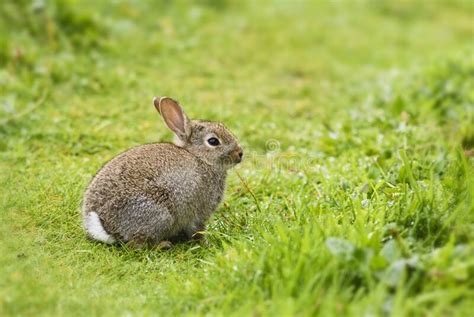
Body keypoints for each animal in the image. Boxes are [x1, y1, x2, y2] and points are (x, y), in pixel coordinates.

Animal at [81, 96, 243, 247]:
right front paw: (206, 243)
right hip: (161, 213)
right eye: (213, 141)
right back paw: (163, 245)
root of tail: (103, 224)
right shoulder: (199, 213)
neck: (200, 158)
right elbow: (197, 230)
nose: (240, 154)